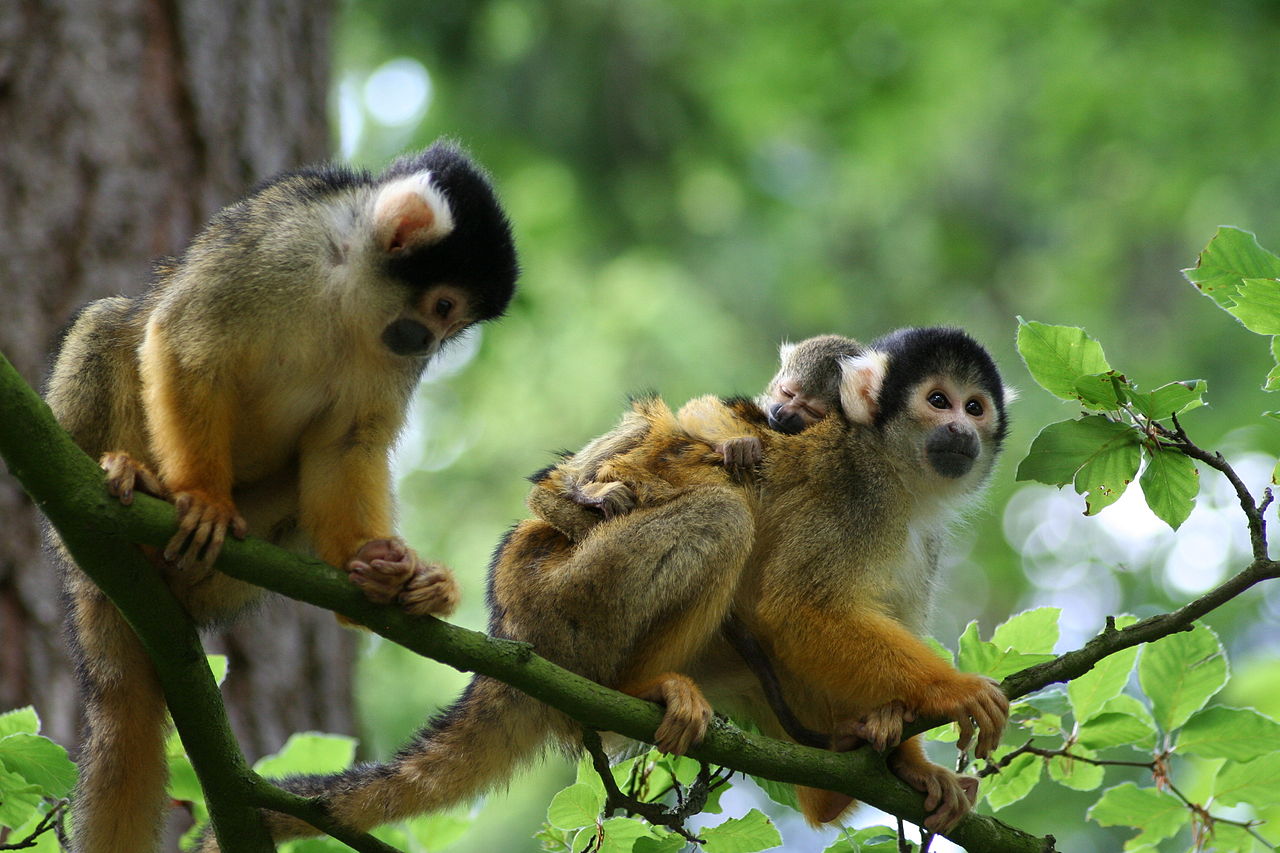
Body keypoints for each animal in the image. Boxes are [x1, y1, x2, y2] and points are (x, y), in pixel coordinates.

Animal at [43, 140, 519, 850]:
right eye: (442, 308)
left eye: (453, 324)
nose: (432, 343)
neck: (345, 282)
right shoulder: (274, 245)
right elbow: (187, 346)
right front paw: (203, 499)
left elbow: (346, 442)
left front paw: (385, 568)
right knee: (112, 322)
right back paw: (132, 484)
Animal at [199, 324, 1008, 845]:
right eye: (938, 400)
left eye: (975, 407)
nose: (963, 433)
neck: (899, 479)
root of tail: (507, 629)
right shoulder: (848, 488)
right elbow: (797, 608)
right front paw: (955, 693)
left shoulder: (925, 538)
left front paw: (908, 757)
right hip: (566, 600)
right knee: (716, 511)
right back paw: (641, 678)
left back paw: (842, 768)